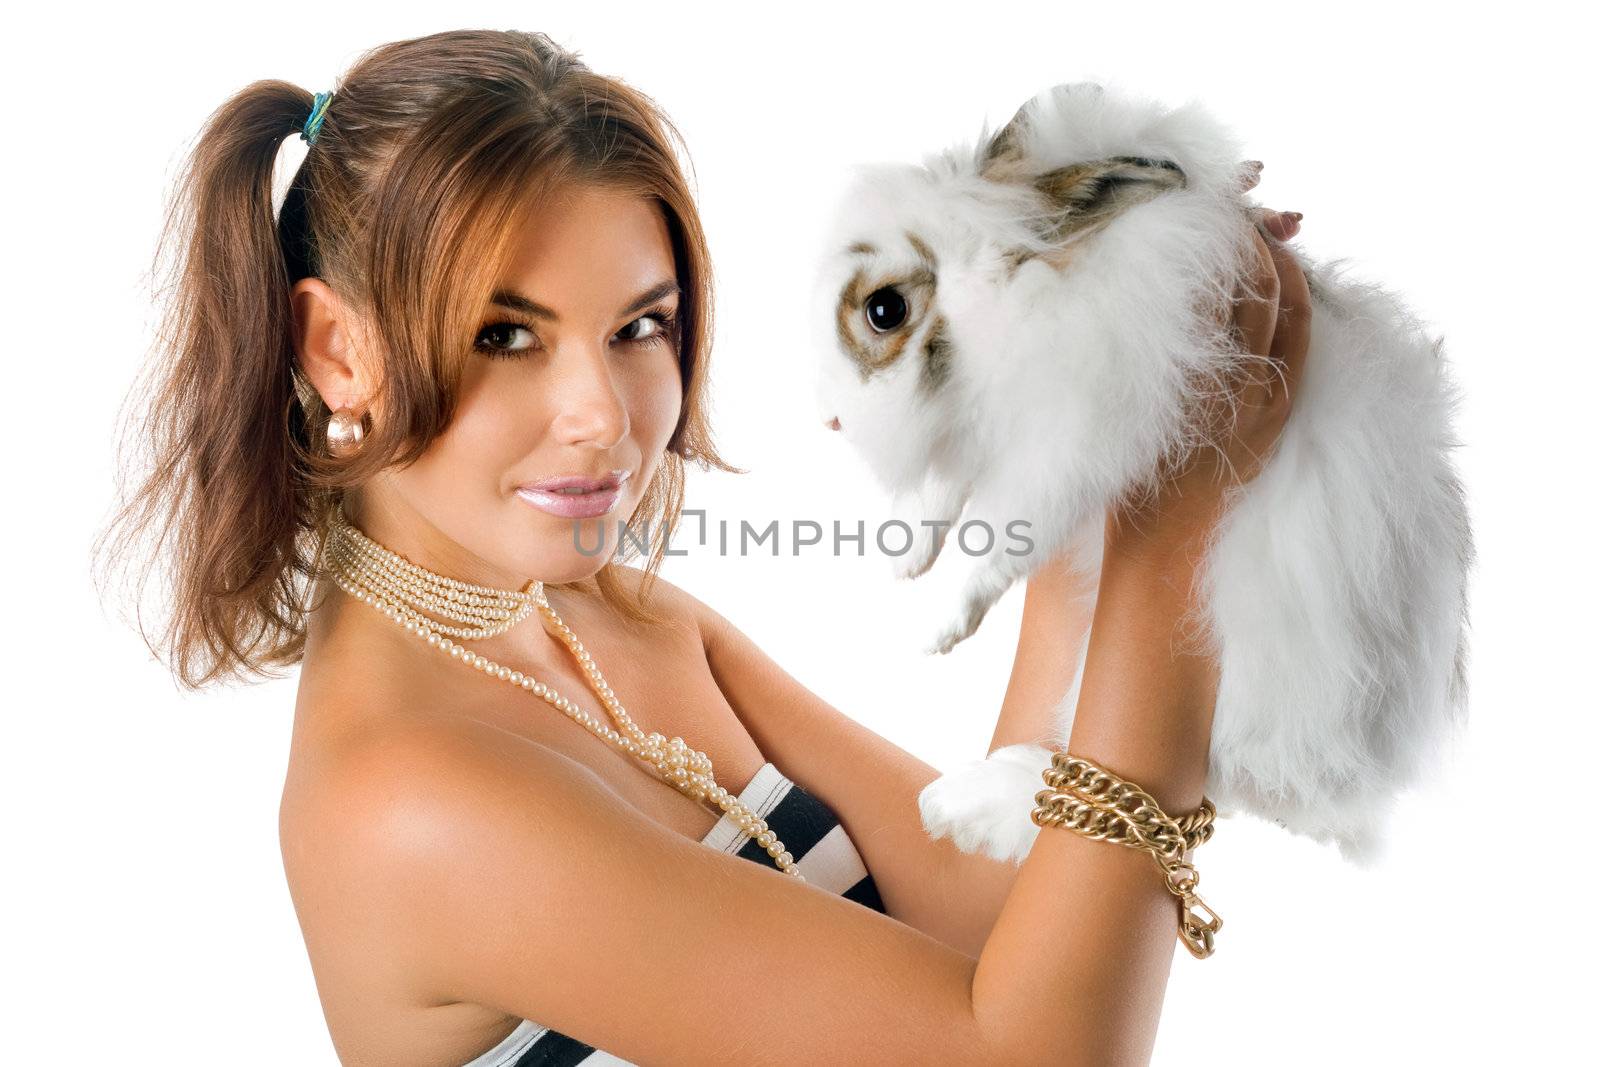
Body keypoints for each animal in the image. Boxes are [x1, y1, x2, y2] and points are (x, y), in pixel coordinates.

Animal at [812, 83, 1472, 870]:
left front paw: (942, 628)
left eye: (883, 310)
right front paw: (909, 558)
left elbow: (1005, 531)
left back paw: (967, 805)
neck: (1019, 295)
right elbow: (945, 496)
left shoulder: (1074, 439)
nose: (831, 421)